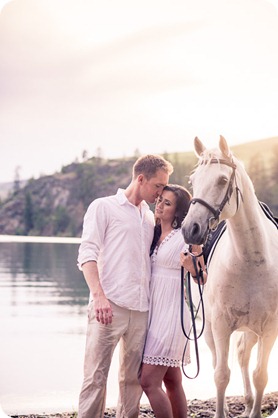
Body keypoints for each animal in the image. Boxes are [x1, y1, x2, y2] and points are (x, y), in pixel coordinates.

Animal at [181, 137, 276, 418]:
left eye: (223, 180)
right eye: (193, 180)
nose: (190, 229)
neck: (251, 259)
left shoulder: (270, 328)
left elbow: (261, 376)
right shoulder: (221, 324)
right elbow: (221, 375)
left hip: (253, 329)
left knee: (244, 355)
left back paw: (248, 403)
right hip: (210, 328)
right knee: (222, 361)